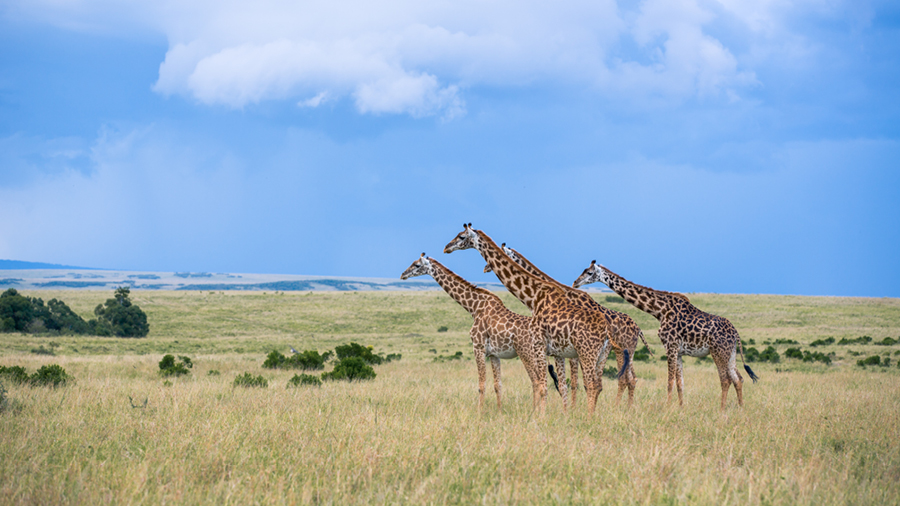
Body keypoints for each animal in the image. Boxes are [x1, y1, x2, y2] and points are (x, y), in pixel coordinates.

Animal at [401, 253, 548, 412]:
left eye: (417, 265)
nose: (403, 275)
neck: (474, 307)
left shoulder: (478, 347)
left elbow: (481, 384)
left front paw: (479, 412)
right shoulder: (494, 354)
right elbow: (498, 385)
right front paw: (499, 411)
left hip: (525, 352)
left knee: (537, 381)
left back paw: (534, 412)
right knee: (541, 381)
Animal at [444, 224, 624, 414]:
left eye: (462, 236)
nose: (446, 247)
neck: (533, 297)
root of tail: (606, 331)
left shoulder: (539, 344)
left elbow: (544, 385)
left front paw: (540, 416)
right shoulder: (555, 351)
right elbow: (560, 385)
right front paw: (563, 414)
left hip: (587, 353)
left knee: (591, 385)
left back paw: (589, 417)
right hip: (600, 355)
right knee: (598, 385)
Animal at [485, 243, 651, 405]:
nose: (486, 267)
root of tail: (638, 329)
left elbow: (575, 382)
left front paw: (572, 408)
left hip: (621, 349)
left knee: (623, 379)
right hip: (621, 351)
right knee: (630, 379)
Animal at [573, 261, 759, 409]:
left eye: (589, 272)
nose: (575, 282)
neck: (660, 310)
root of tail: (736, 333)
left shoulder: (670, 346)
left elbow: (669, 381)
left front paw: (667, 407)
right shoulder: (679, 351)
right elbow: (680, 383)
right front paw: (681, 408)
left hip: (718, 352)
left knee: (726, 379)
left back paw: (722, 409)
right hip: (730, 353)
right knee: (738, 378)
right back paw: (741, 408)